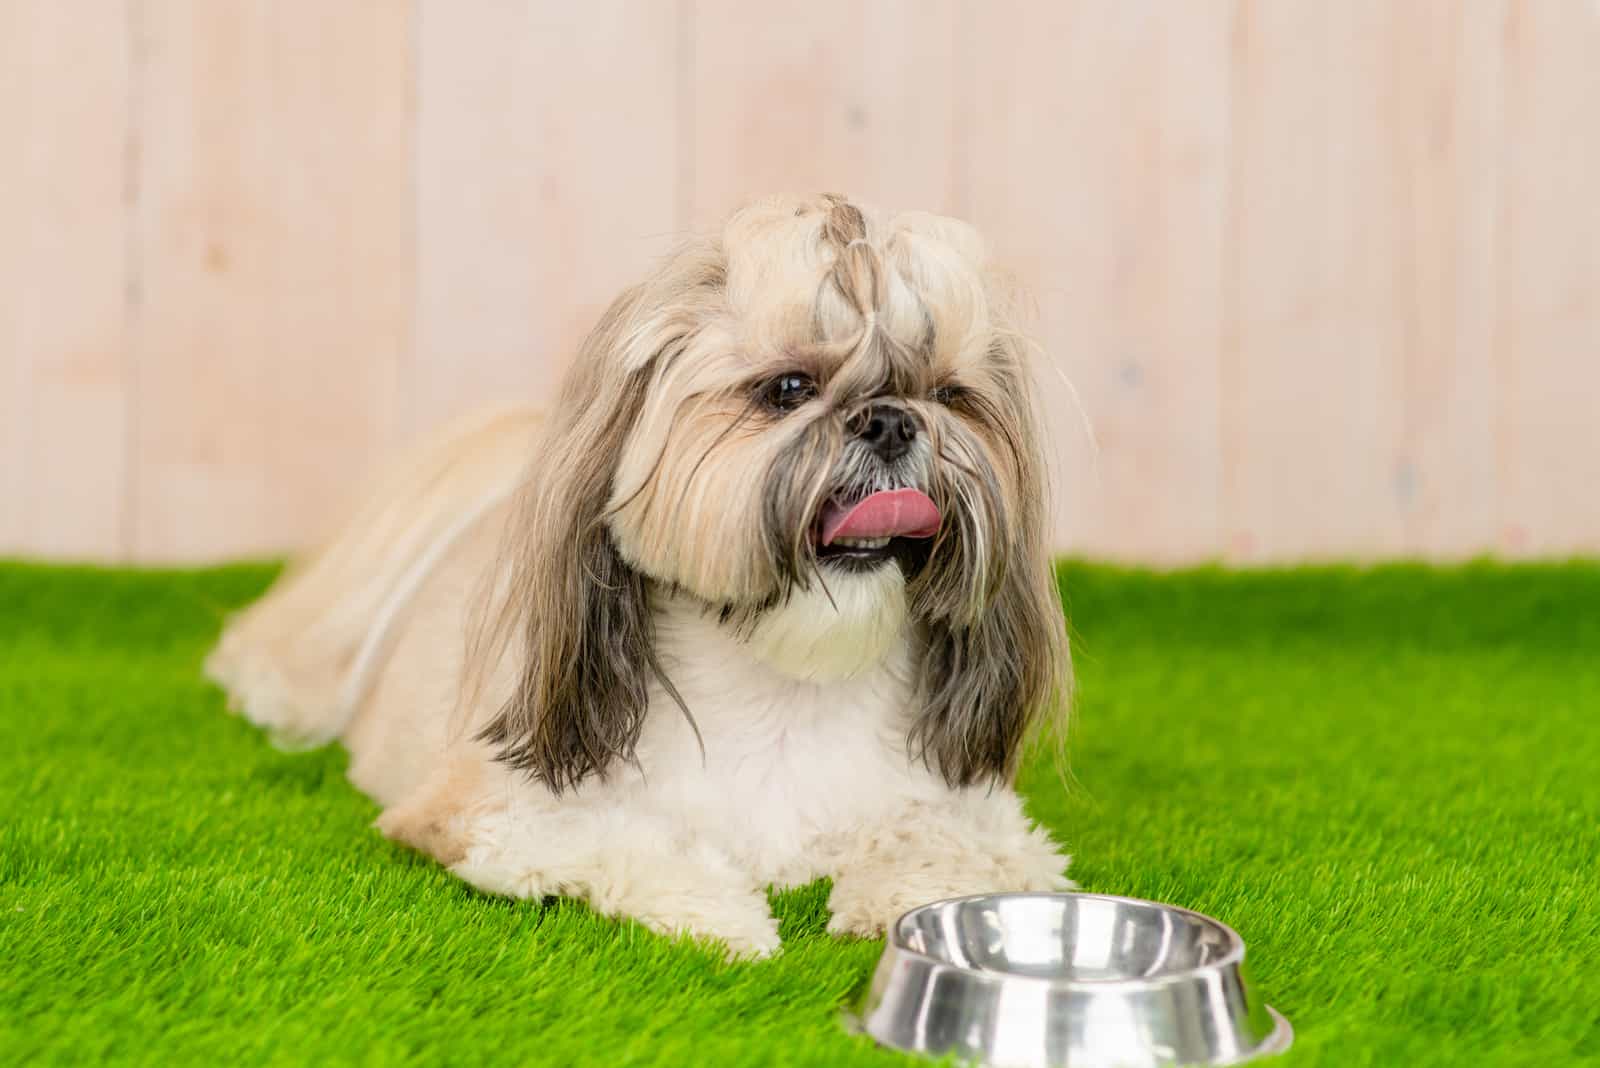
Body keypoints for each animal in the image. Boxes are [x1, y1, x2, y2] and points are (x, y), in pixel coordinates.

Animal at [203, 194, 1075, 959]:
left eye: (948, 396)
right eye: (788, 388)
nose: (894, 421)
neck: (784, 687)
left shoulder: (991, 819)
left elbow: (946, 845)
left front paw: (891, 902)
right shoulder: (490, 810)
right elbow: (629, 840)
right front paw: (726, 918)